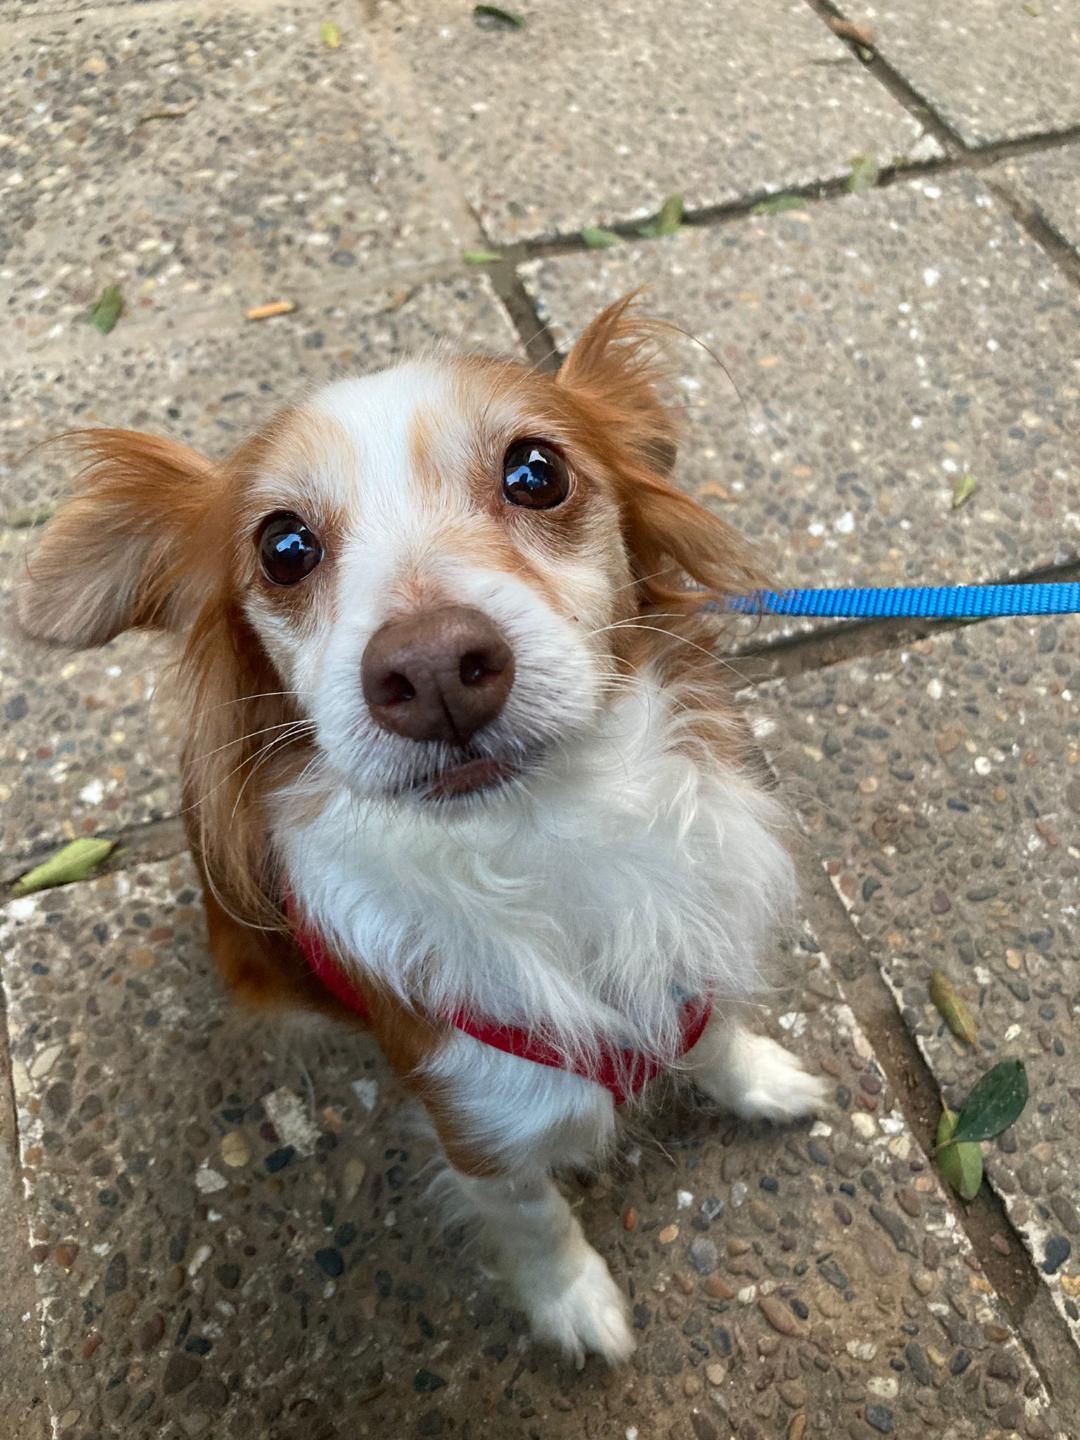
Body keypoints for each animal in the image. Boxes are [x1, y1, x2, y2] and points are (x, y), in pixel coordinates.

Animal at [16, 297, 826, 1365]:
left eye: (536, 472)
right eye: (283, 547)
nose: (435, 667)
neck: (546, 833)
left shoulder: (689, 955)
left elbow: (715, 1030)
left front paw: (761, 1079)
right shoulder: (479, 1123)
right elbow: (537, 1221)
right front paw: (577, 1306)